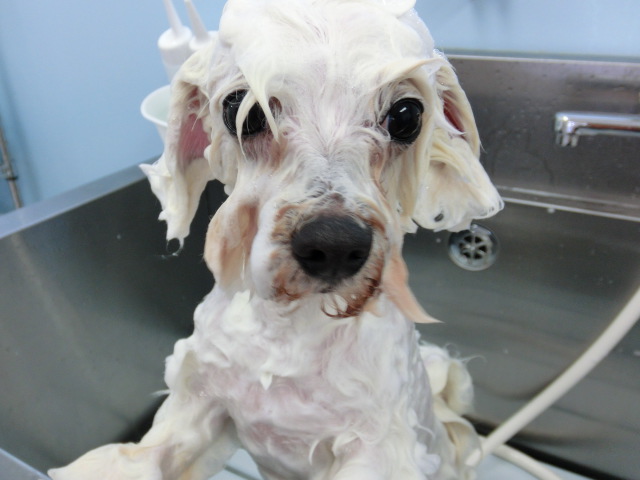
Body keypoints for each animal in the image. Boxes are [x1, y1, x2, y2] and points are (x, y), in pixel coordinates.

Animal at [49, 0, 502, 478]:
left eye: (406, 116)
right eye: (245, 112)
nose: (335, 244)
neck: (289, 330)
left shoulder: (380, 450)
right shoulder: (199, 407)